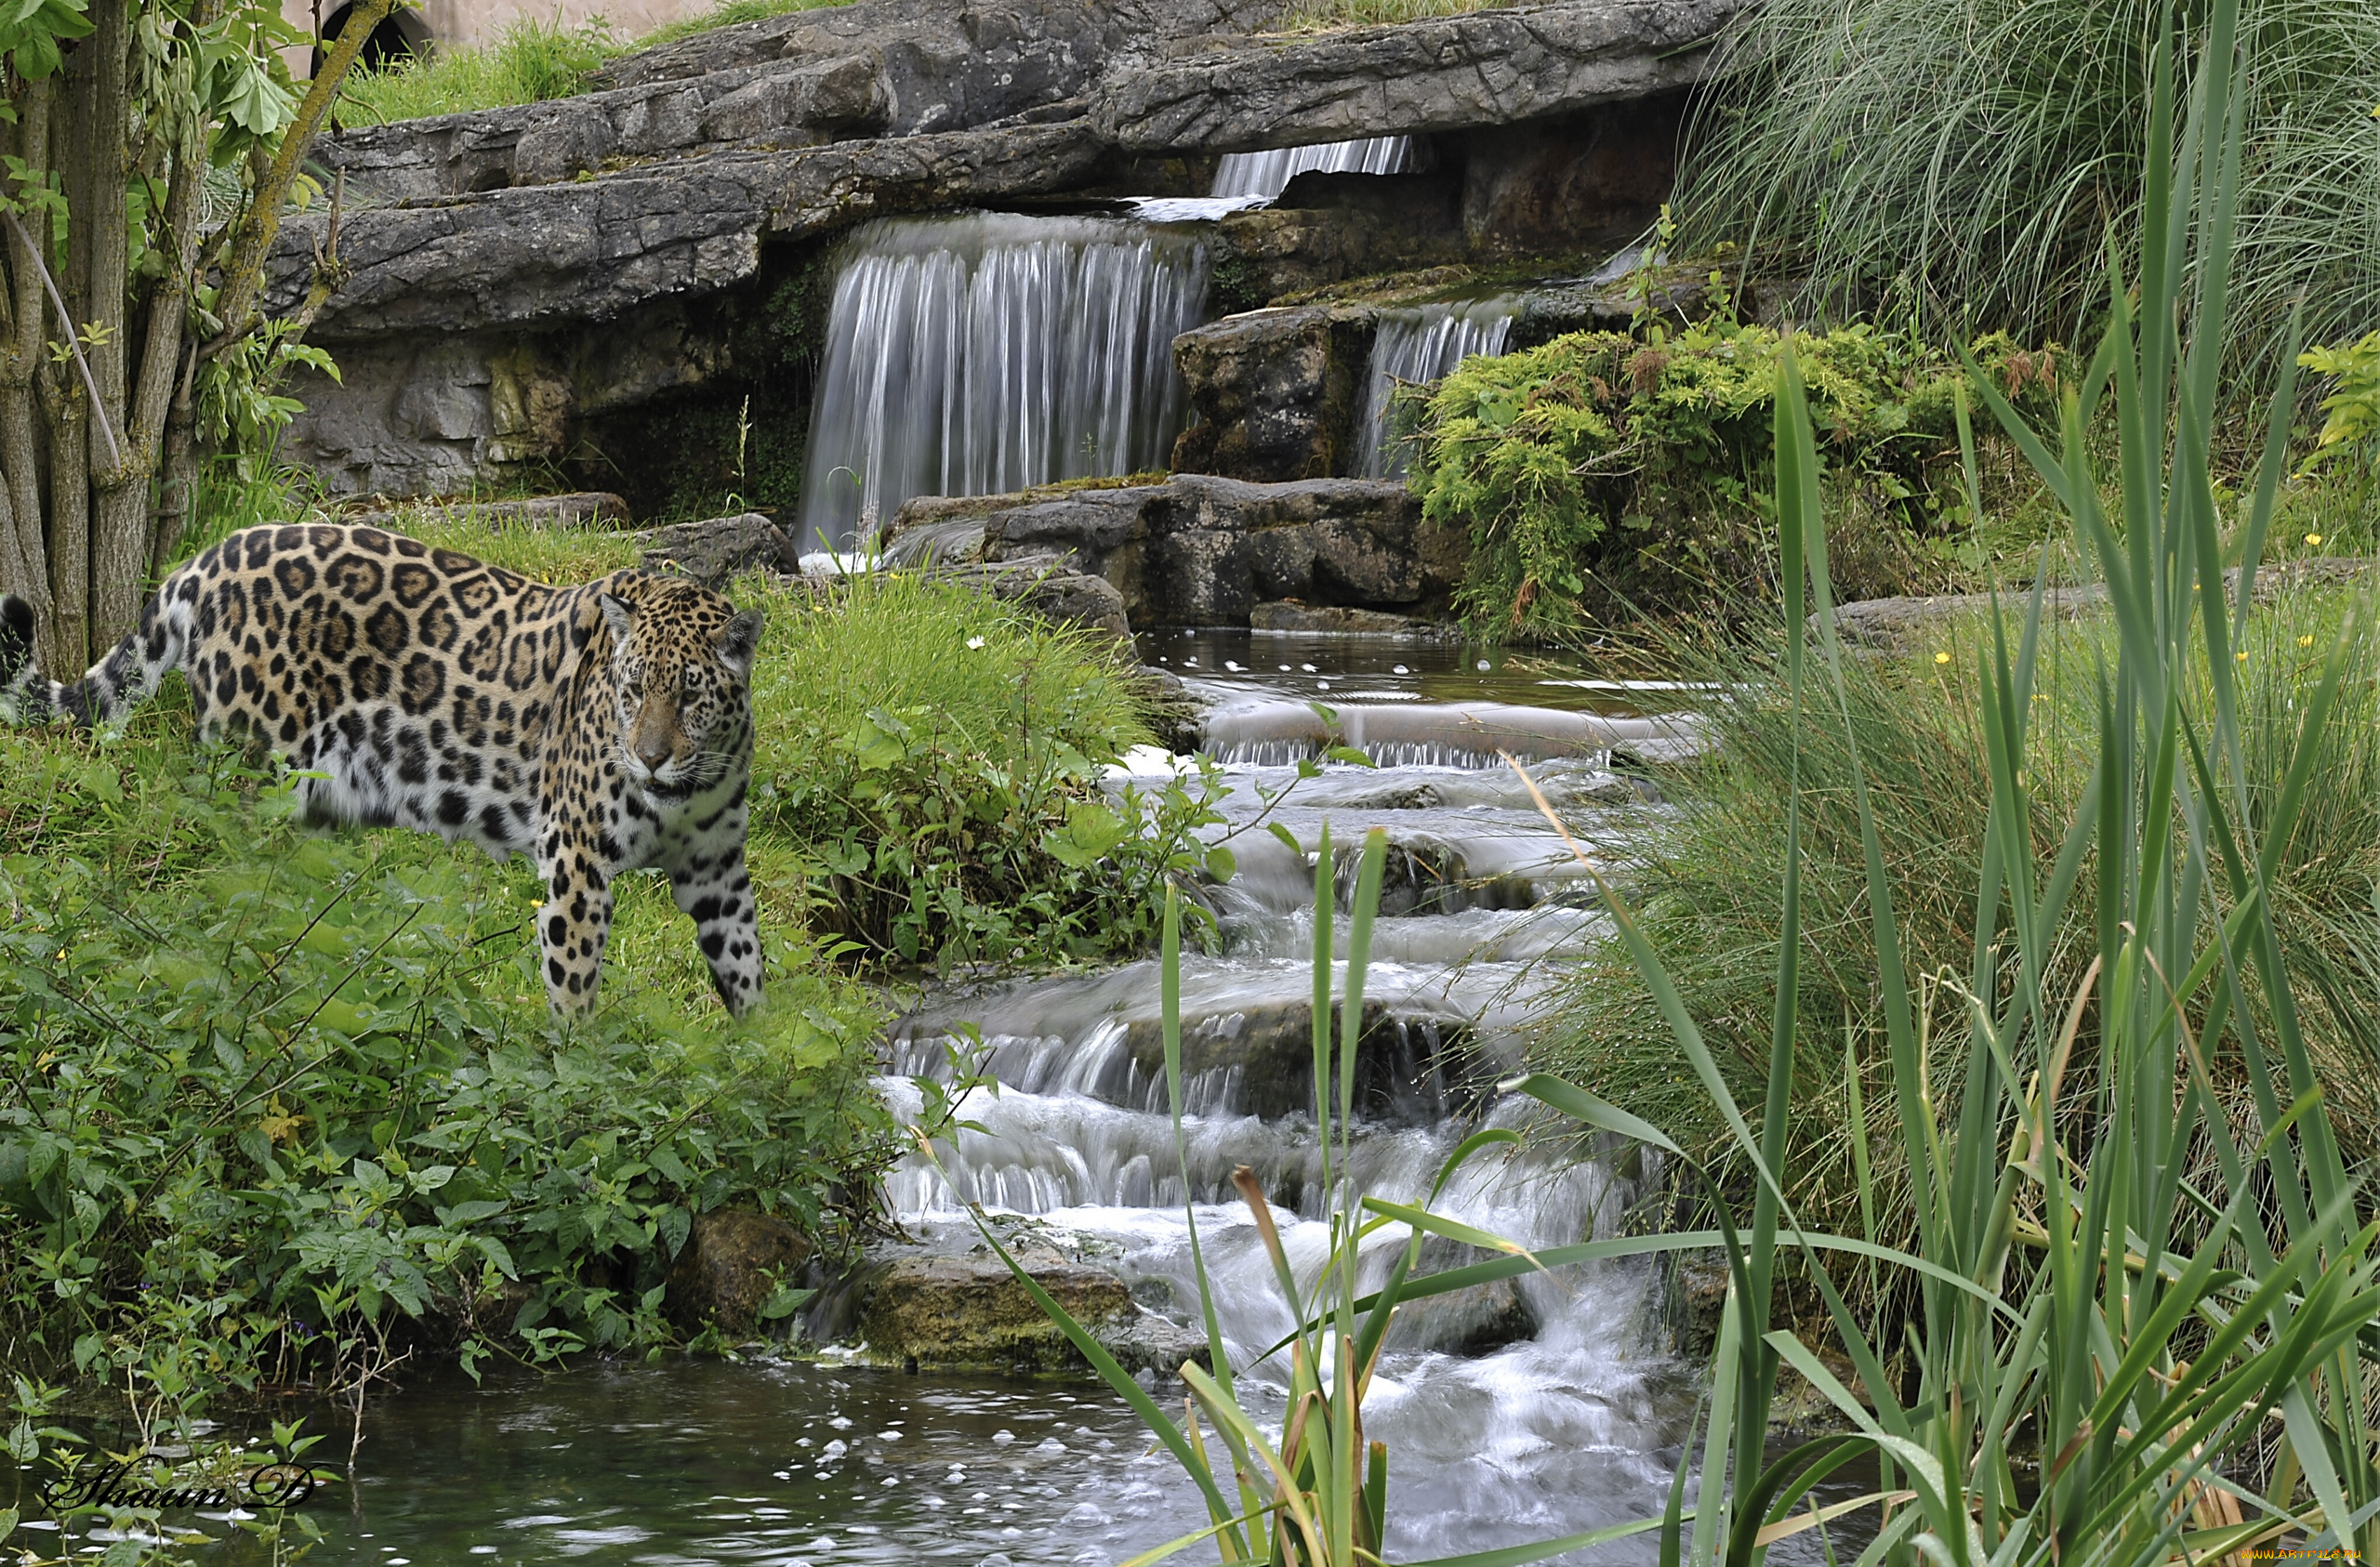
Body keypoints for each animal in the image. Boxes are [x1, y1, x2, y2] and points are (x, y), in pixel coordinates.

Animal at [0, 527, 761, 1018]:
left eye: (689, 696)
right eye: (631, 691)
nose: (649, 757)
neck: (686, 791)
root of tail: (207, 559)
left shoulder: (717, 870)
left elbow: (748, 971)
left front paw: (760, 1071)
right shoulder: (578, 864)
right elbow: (574, 993)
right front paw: (576, 1084)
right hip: (255, 777)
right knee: (219, 893)